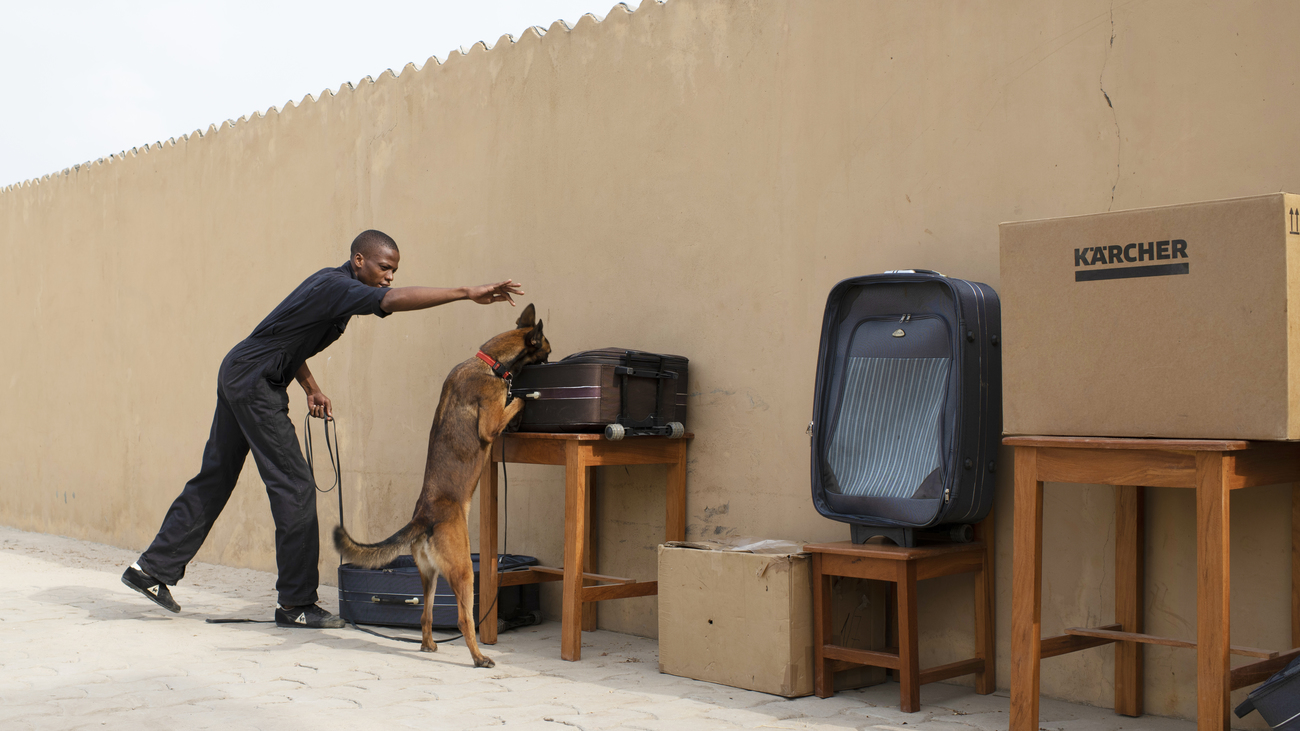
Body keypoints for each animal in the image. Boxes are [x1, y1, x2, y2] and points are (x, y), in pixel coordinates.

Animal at [332, 301, 551, 665]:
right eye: (547, 351)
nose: (552, 360)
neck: (489, 361)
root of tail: (424, 517)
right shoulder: (490, 423)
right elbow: (515, 401)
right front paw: (525, 397)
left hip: (430, 574)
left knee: (426, 615)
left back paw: (429, 645)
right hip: (464, 571)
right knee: (464, 619)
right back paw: (479, 658)